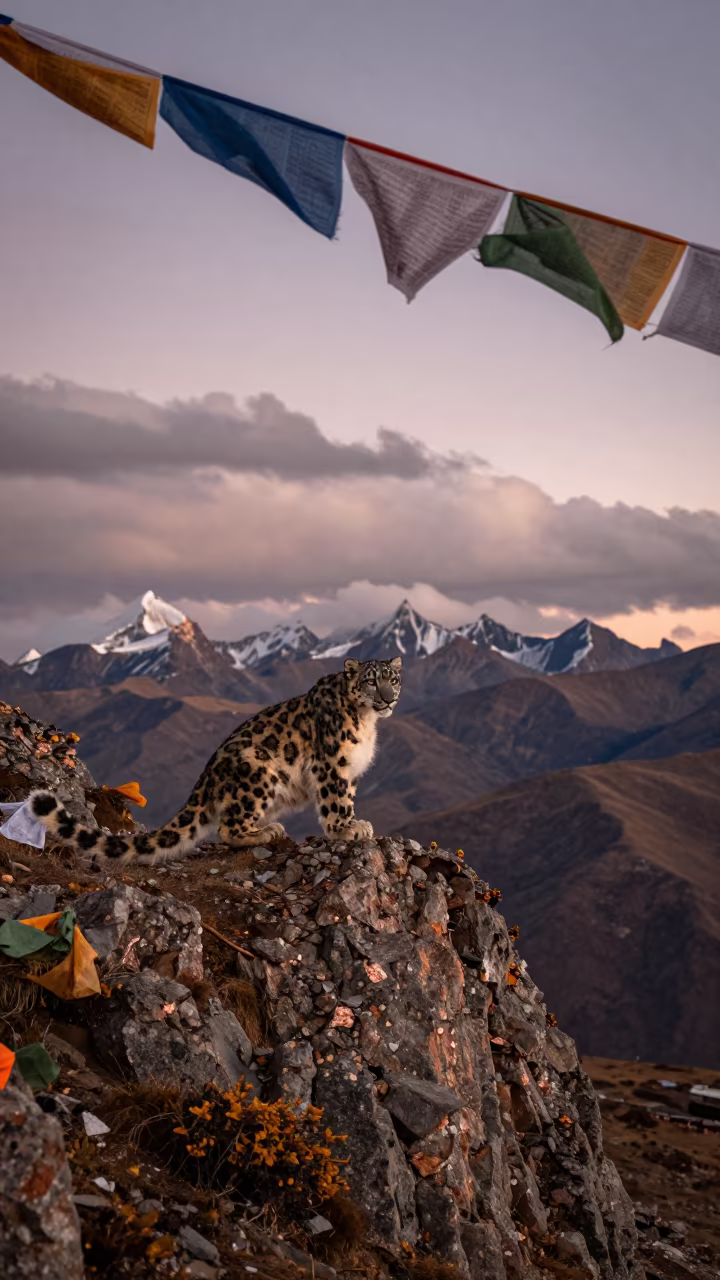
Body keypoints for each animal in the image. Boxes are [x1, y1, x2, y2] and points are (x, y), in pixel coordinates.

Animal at [28, 656, 402, 865]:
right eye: (371, 680)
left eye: (393, 679)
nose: (388, 698)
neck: (366, 720)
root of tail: (205, 778)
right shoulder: (332, 764)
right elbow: (335, 801)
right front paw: (346, 829)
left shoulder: (350, 771)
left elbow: (347, 797)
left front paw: (355, 823)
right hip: (258, 773)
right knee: (227, 827)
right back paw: (265, 832)